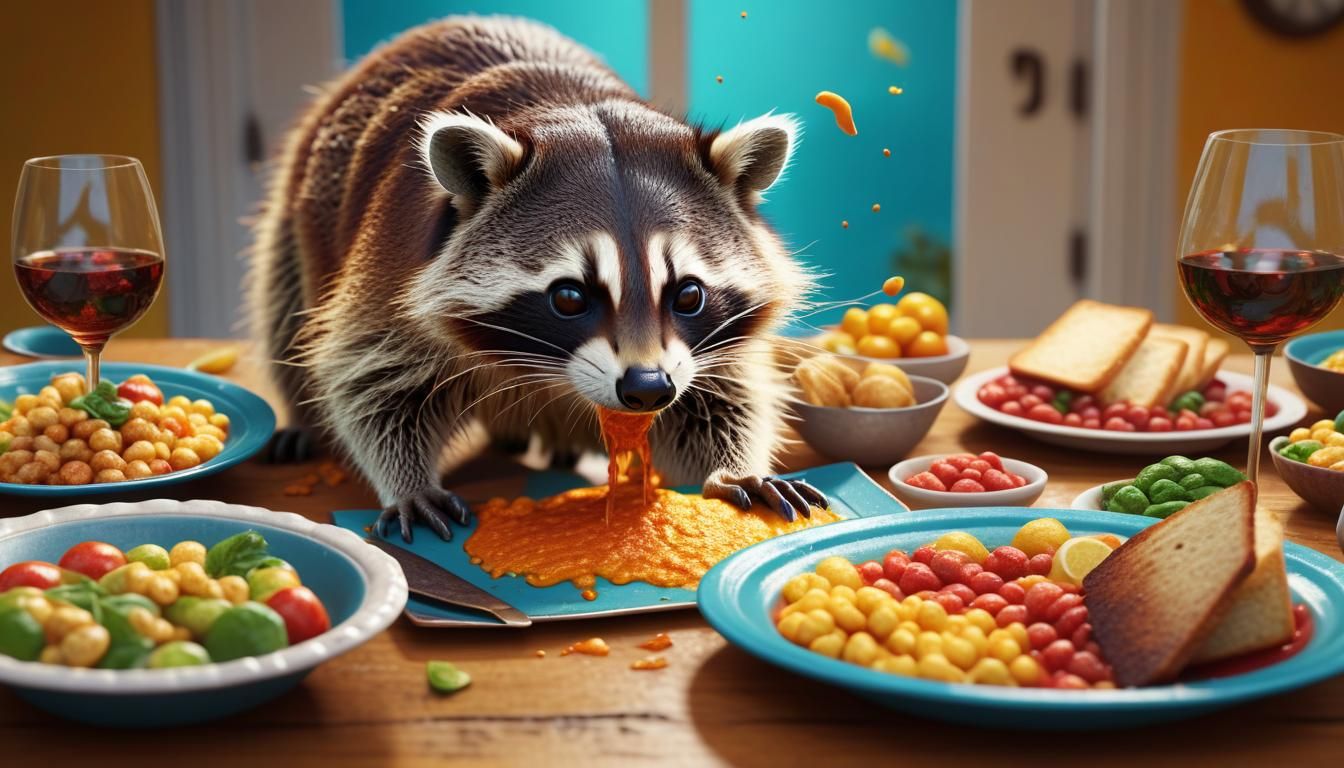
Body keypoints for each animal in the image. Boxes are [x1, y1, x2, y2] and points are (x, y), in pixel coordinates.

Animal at [250, 16, 826, 541]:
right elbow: (369, 376)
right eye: (569, 297)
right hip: (297, 205)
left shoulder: (706, 345)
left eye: (688, 294)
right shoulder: (391, 265)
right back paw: (303, 417)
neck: (575, 105)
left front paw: (734, 466)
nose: (647, 389)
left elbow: (718, 395)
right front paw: (407, 480)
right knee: (285, 308)